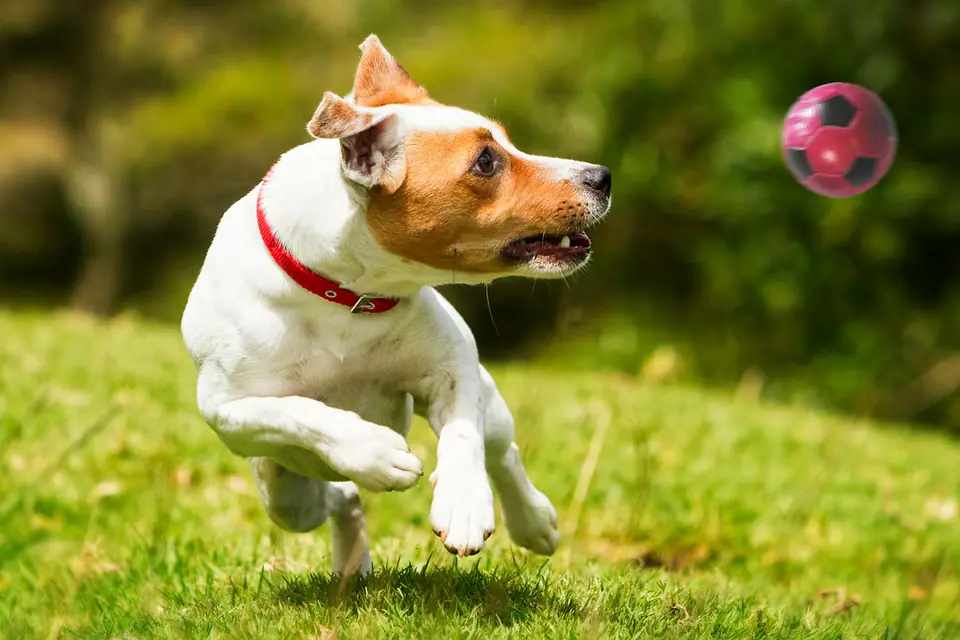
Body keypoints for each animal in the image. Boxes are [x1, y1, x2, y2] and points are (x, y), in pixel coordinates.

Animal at [180, 33, 612, 576]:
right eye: (485, 161)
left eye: (508, 142)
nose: (602, 175)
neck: (347, 295)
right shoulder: (226, 409)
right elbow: (296, 411)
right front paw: (373, 450)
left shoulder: (453, 366)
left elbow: (464, 436)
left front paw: (464, 504)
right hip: (286, 498)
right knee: (335, 498)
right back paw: (352, 562)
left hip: (490, 405)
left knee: (502, 450)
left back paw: (534, 521)